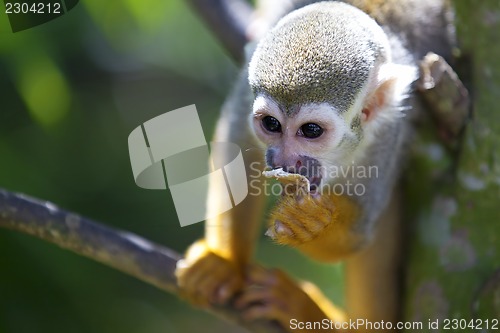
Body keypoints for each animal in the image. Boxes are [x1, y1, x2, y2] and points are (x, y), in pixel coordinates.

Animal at [176, 1, 454, 330]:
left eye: (311, 130)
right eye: (271, 124)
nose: (284, 160)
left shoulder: (390, 132)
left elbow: (359, 230)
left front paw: (308, 224)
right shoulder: (247, 91)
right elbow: (238, 150)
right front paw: (225, 262)